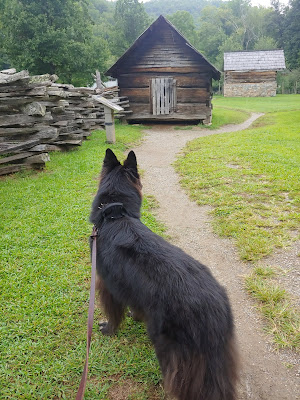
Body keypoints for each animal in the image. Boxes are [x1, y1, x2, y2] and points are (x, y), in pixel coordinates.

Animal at [89, 148, 239, 398]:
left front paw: (109, 329)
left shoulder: (106, 286)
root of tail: (214, 306)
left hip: (175, 357)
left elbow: (113, 314)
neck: (115, 215)